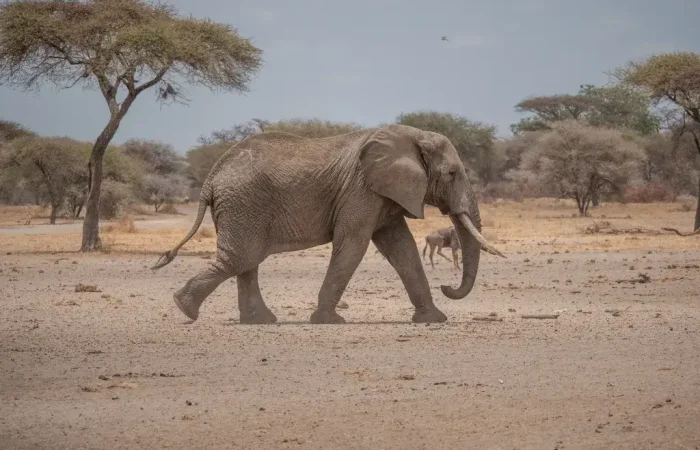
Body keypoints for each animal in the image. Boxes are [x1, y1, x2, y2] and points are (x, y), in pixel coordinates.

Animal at [152, 124, 505, 324]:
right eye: (452, 174)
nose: (448, 287)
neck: (411, 137)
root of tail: (211, 177)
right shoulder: (362, 189)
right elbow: (353, 244)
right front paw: (328, 320)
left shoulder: (383, 194)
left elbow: (400, 248)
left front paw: (433, 320)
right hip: (243, 204)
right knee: (241, 258)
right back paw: (186, 309)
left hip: (243, 207)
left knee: (245, 261)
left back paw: (259, 321)